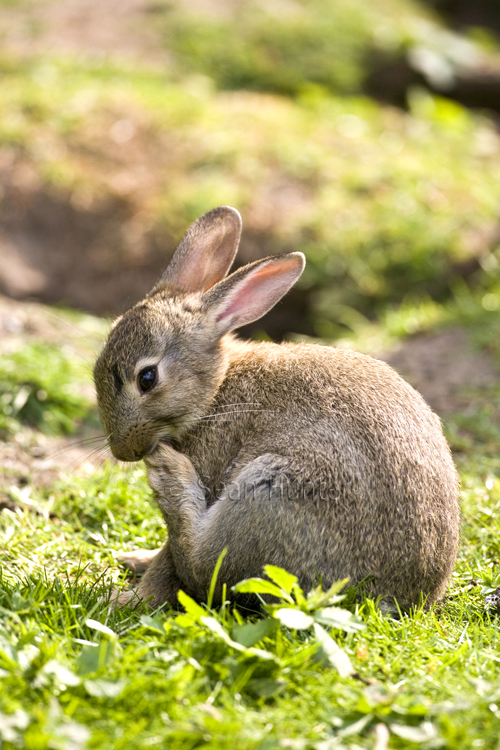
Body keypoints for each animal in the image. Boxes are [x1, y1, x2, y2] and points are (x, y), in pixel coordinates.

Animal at [92, 204, 458, 612]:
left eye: (147, 378)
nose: (124, 451)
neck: (215, 391)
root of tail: (405, 597)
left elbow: (171, 566)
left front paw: (126, 599)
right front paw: (136, 563)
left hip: (271, 493)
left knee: (207, 568)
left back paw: (169, 477)